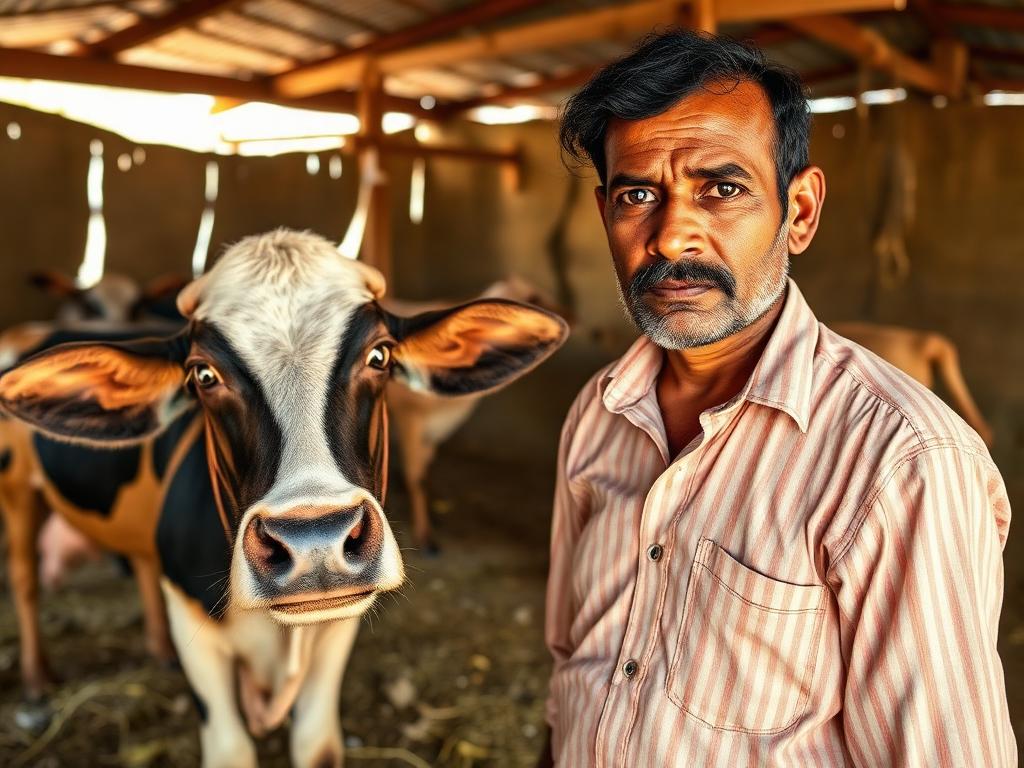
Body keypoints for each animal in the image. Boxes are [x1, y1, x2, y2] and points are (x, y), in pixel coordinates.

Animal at [0, 229, 568, 767]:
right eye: (204, 375)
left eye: (379, 355)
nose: (316, 541)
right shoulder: (195, 631)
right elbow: (230, 751)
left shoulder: (336, 637)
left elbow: (317, 745)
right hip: (16, 494)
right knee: (25, 581)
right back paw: (36, 678)